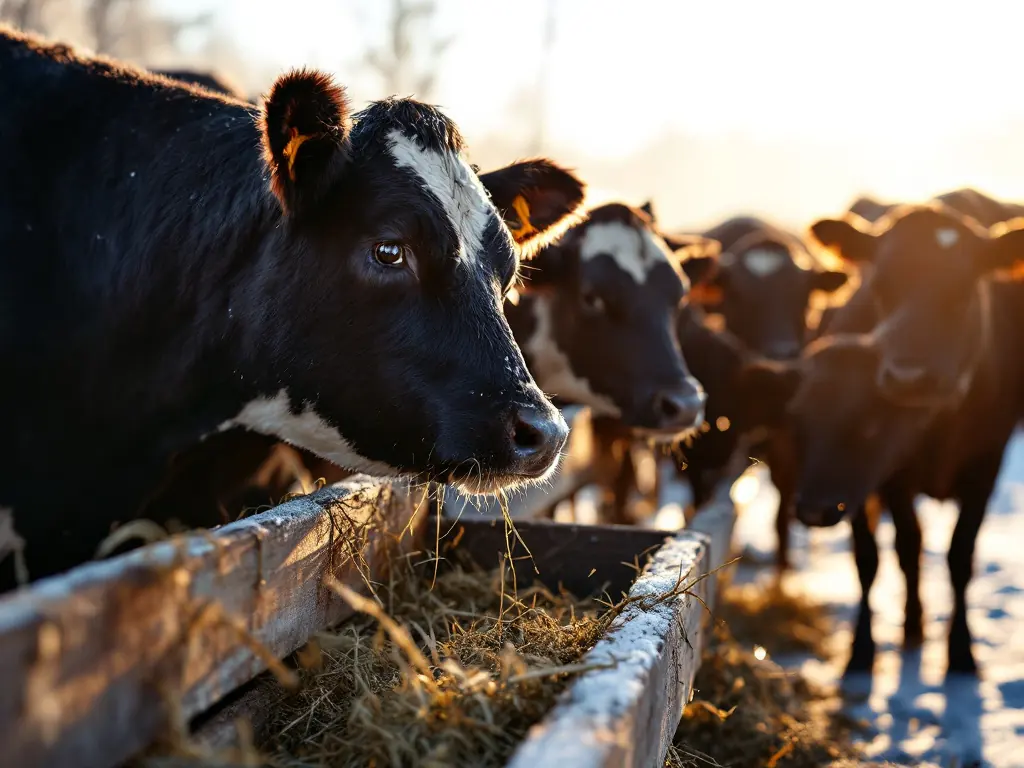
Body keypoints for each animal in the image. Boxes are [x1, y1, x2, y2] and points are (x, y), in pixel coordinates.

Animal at [749, 202, 1024, 677]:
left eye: (964, 290)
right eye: (881, 285)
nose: (909, 378)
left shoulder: (988, 461)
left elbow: (959, 555)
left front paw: (961, 651)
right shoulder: (892, 473)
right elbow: (890, 552)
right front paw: (865, 647)